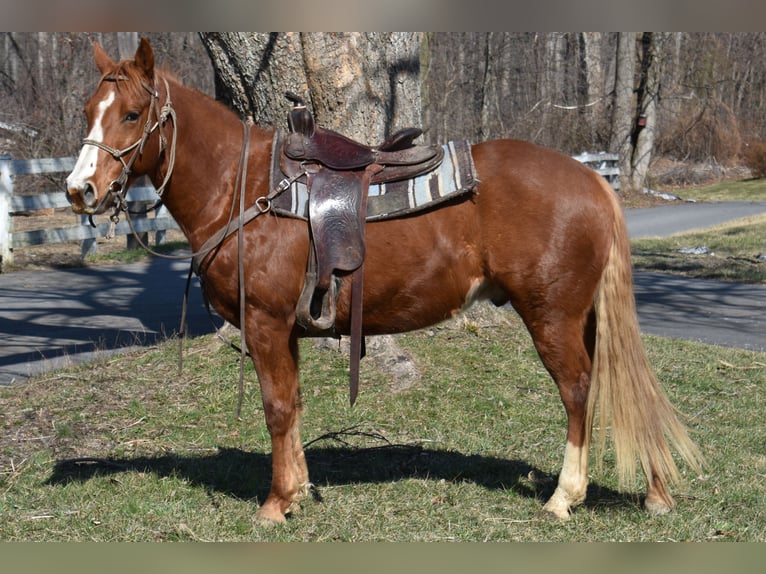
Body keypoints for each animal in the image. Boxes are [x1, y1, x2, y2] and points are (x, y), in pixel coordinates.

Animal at [65, 38, 703, 525]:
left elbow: (276, 408)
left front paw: (275, 503)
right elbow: (294, 404)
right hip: (585, 316)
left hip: (553, 316)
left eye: (130, 114)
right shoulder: (288, 331)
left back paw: (564, 497)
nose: (79, 190)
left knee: (577, 391)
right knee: (618, 387)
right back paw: (653, 490)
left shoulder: (266, 324)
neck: (245, 187)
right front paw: (299, 490)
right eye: (88, 109)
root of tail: (592, 181)